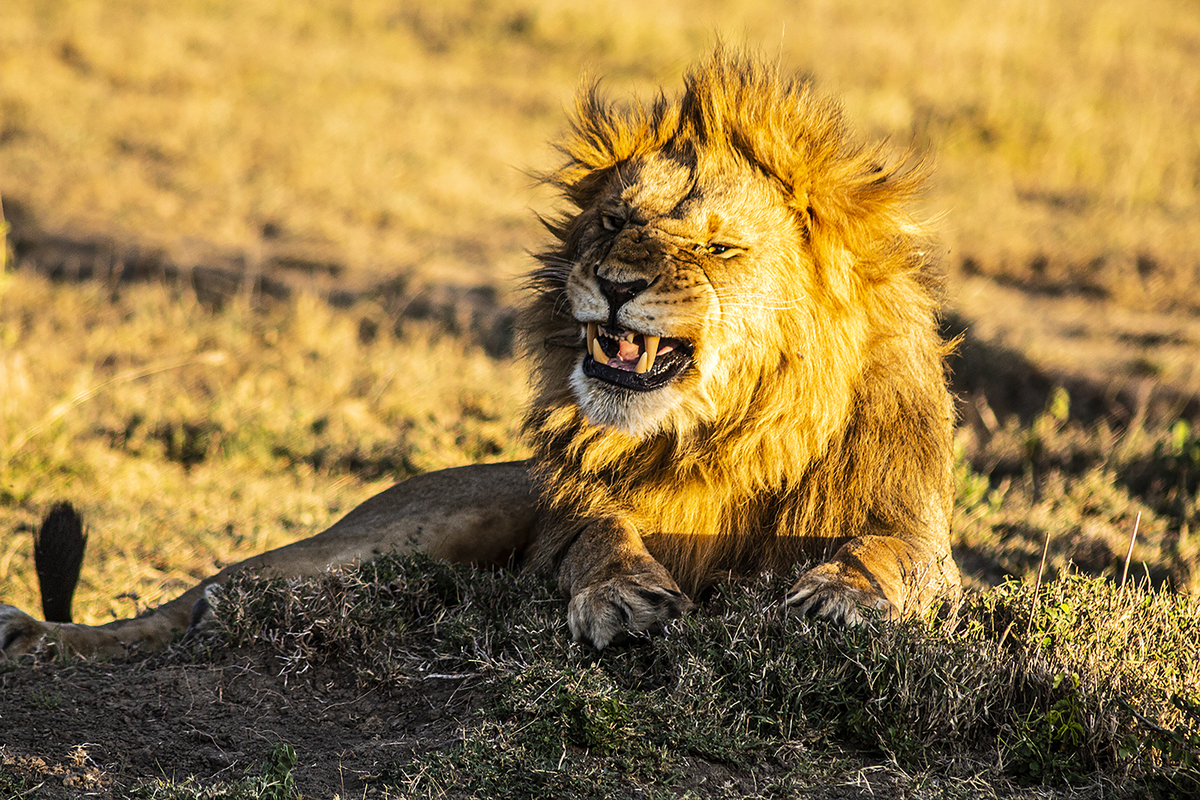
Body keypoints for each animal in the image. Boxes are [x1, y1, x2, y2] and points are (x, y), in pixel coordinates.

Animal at [0, 51, 955, 662]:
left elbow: (893, 553)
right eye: (614, 220)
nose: (613, 282)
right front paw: (621, 596)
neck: (718, 438)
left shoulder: (920, 542)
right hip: (391, 533)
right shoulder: (572, 520)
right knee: (196, 597)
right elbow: (599, 535)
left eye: (718, 249)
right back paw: (42, 636)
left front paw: (844, 596)